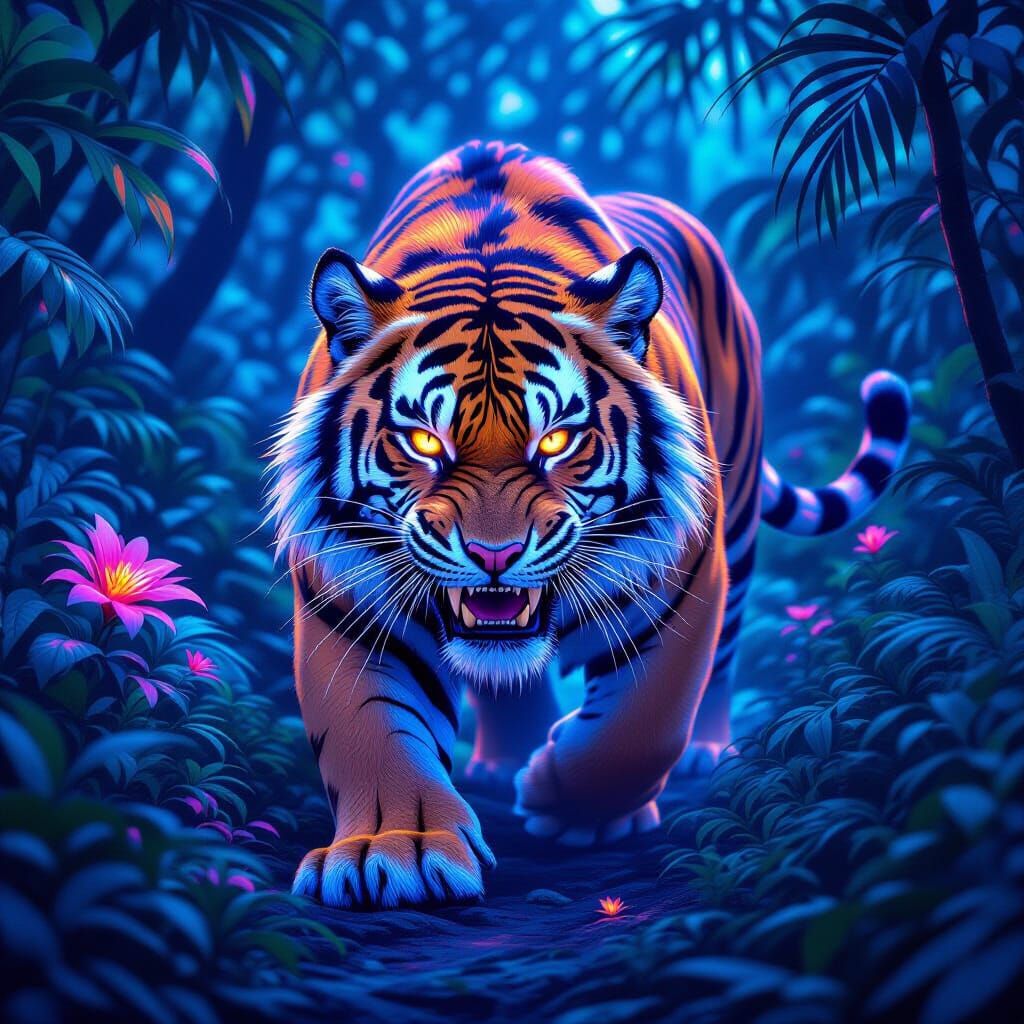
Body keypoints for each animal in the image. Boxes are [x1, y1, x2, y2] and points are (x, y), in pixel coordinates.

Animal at [268, 140, 910, 909]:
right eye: (424, 440)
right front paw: (393, 851)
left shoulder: (686, 573)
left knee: (722, 660)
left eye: (555, 441)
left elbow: (641, 727)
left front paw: (568, 804)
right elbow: (372, 731)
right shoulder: (346, 598)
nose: (493, 553)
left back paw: (701, 752)